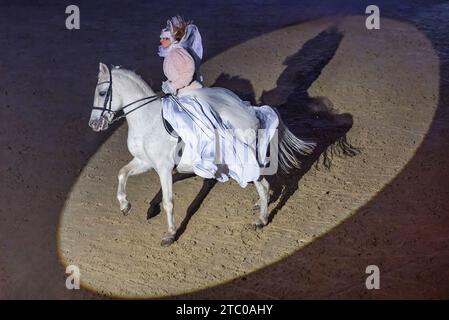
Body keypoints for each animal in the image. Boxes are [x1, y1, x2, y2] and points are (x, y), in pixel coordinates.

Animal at [89, 63, 314, 246]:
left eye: (102, 92)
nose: (93, 124)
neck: (147, 121)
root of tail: (251, 112)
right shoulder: (144, 162)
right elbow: (122, 173)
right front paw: (125, 205)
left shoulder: (163, 168)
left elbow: (168, 201)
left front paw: (170, 234)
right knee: (261, 184)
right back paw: (261, 204)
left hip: (244, 158)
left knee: (263, 184)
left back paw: (261, 220)